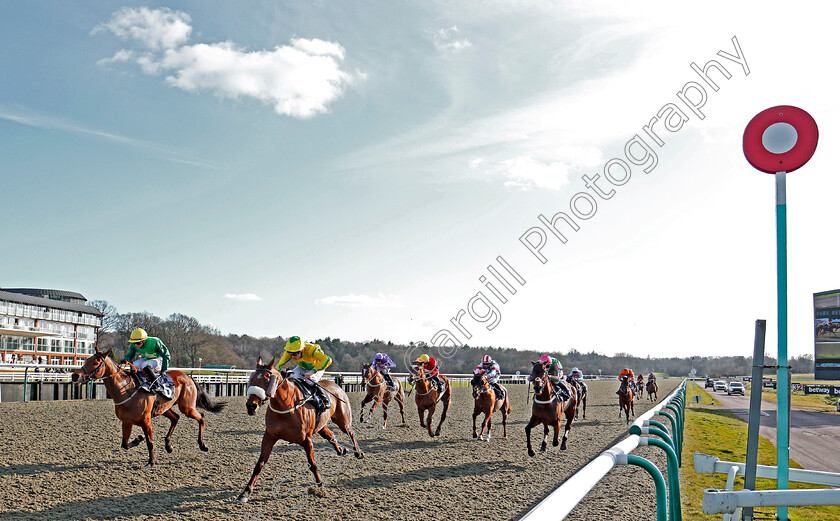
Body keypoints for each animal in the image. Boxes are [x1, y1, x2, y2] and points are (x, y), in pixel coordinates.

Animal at [71, 348, 226, 466]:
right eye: (85, 360)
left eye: (96, 362)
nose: (74, 376)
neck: (126, 390)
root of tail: (187, 376)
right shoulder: (126, 422)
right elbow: (125, 444)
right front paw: (138, 439)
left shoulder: (146, 421)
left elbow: (150, 442)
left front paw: (151, 462)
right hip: (165, 408)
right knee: (176, 418)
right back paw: (168, 445)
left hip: (187, 407)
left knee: (201, 417)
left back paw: (202, 444)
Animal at [238, 356, 366, 502]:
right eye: (252, 379)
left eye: (266, 379)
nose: (251, 406)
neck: (286, 406)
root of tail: (337, 386)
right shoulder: (269, 436)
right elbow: (260, 464)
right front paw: (245, 492)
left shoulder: (306, 439)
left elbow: (312, 464)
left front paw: (320, 485)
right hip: (322, 425)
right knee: (330, 435)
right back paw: (341, 450)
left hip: (343, 420)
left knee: (351, 433)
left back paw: (358, 452)